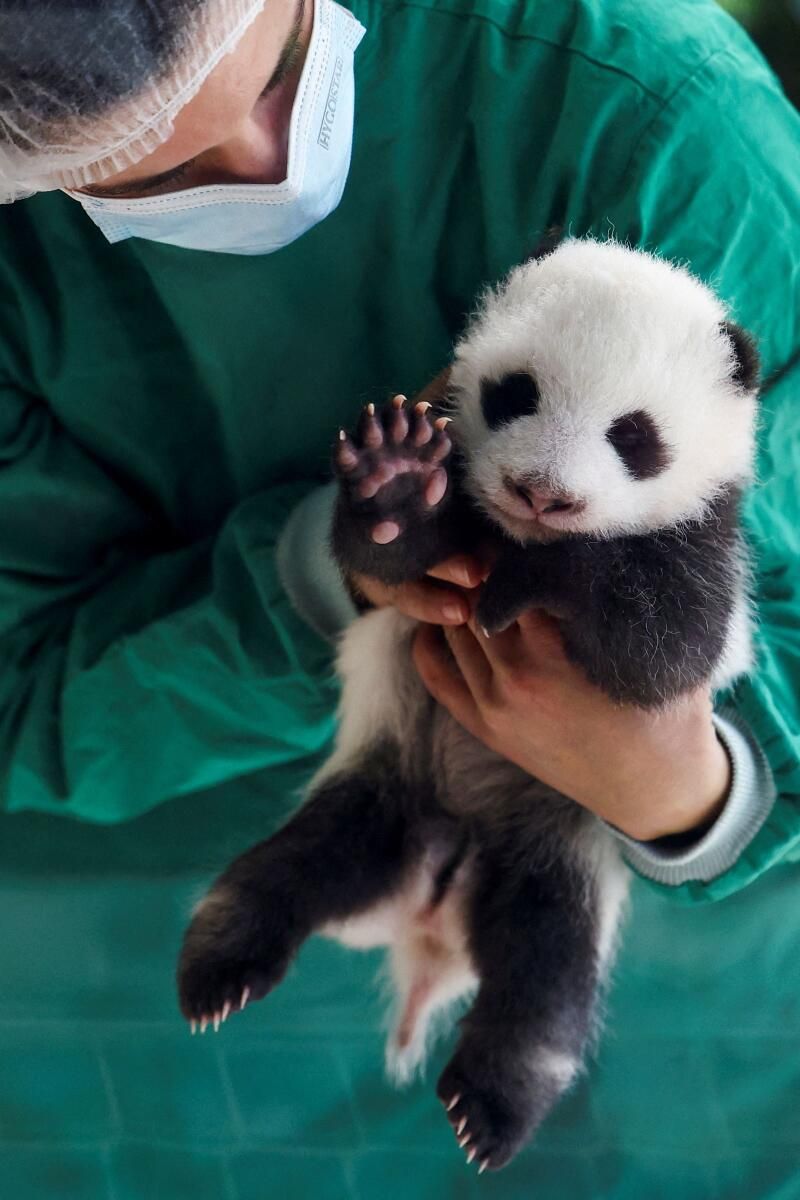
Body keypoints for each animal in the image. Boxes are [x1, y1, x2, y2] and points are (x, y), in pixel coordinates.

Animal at [177, 239, 760, 1173]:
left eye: (634, 437)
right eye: (515, 392)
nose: (542, 493)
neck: (514, 537)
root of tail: (432, 904)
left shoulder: (708, 545)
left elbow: (660, 654)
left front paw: (547, 580)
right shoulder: (436, 551)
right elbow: (380, 556)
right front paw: (393, 480)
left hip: (559, 845)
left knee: (543, 974)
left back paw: (494, 1105)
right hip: (383, 788)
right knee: (287, 873)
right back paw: (219, 971)